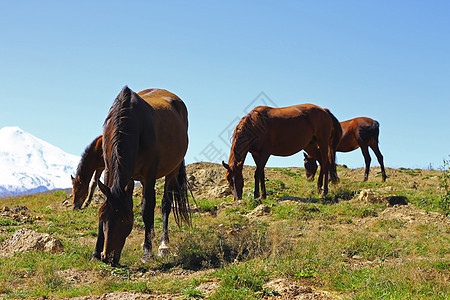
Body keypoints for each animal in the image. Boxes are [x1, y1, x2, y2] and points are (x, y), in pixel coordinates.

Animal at [95, 86, 190, 264]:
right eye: (103, 218)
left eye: (126, 220)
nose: (108, 258)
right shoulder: (108, 172)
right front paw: (95, 254)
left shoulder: (149, 174)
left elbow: (147, 210)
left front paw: (147, 252)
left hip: (172, 170)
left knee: (165, 204)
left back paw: (163, 245)